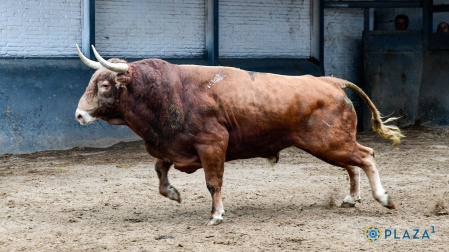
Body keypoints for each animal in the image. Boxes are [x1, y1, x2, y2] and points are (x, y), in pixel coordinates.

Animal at [73, 44, 402, 224]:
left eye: (105, 85)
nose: (79, 114)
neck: (167, 91)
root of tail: (330, 81)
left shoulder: (212, 146)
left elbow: (213, 182)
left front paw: (216, 215)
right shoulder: (171, 145)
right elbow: (160, 171)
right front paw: (173, 193)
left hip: (329, 142)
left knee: (366, 157)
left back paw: (383, 198)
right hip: (327, 144)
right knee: (352, 165)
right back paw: (351, 198)